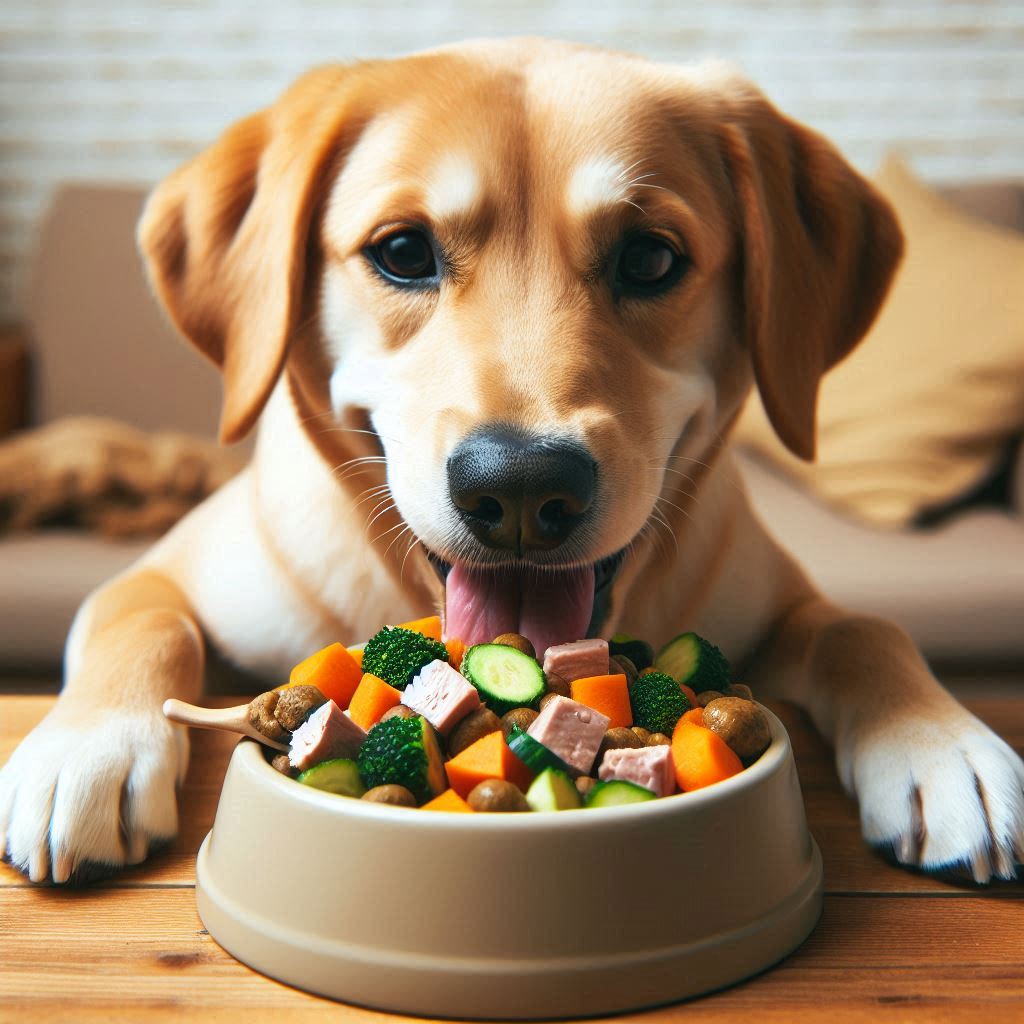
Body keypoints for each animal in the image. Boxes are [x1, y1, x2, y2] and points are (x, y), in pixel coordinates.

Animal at [0, 39, 1019, 884]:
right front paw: (83, 750)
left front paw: (945, 747)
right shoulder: (162, 573)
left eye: (651, 259)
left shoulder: (785, 606)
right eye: (402, 251)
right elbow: (139, 623)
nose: (522, 489)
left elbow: (865, 630)